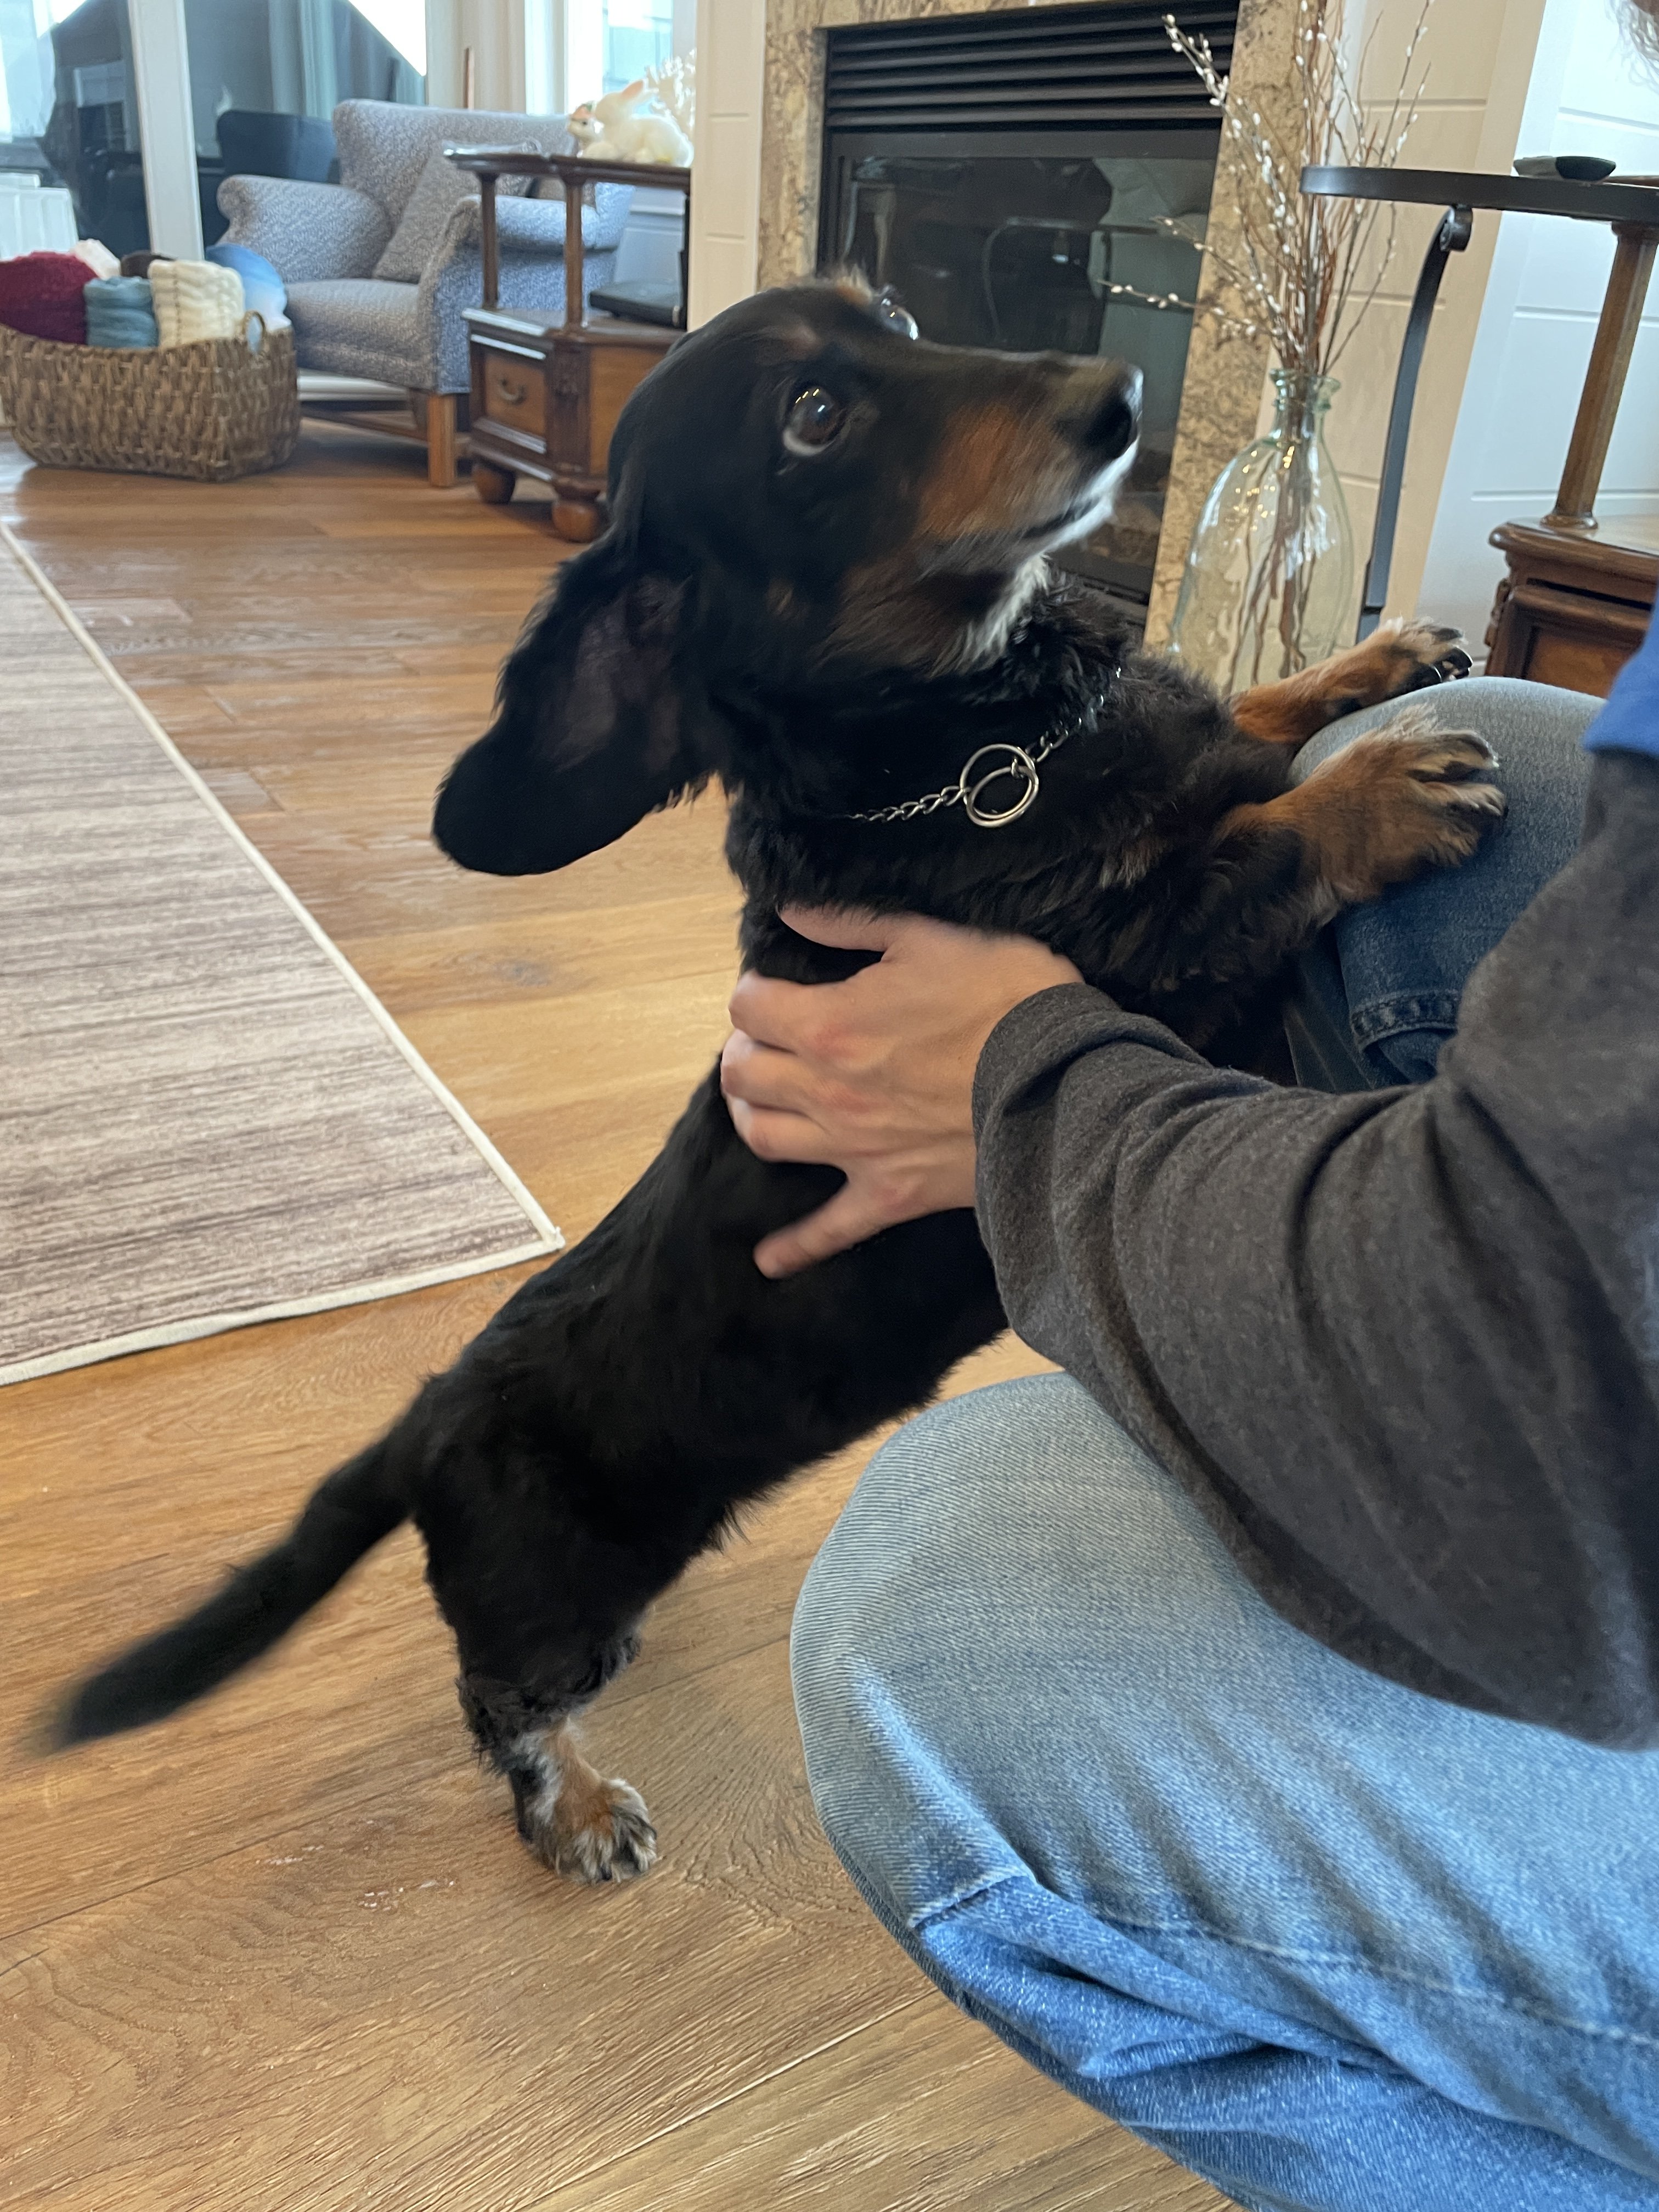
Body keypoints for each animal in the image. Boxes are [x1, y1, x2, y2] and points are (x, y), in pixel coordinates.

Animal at [53, 280, 1501, 1884]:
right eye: (812, 418)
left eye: (906, 318)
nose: (1121, 398)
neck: (976, 749)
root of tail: (424, 1421)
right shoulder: (1136, 959)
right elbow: (1257, 846)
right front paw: (1388, 786)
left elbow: (1254, 720)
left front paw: (1383, 665)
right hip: (558, 1602)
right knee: (500, 1706)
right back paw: (575, 1809)